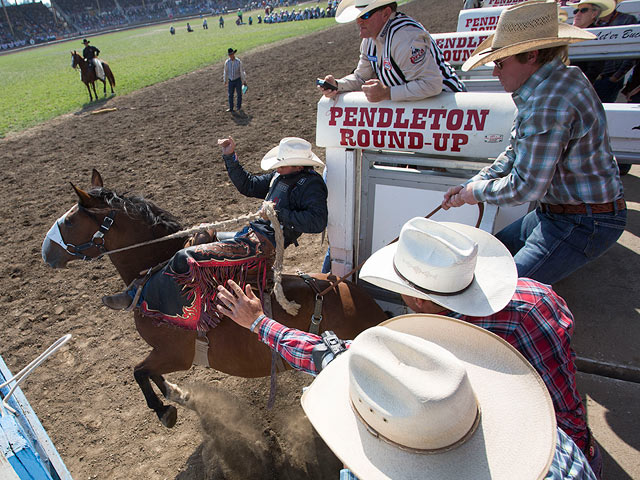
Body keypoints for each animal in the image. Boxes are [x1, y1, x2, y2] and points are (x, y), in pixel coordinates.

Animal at [42, 170, 388, 428]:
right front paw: (177, 394)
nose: (45, 252)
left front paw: (166, 410)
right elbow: (150, 373)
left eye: (70, 221)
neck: (155, 272)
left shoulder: (175, 353)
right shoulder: (163, 353)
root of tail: (374, 310)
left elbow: (139, 372)